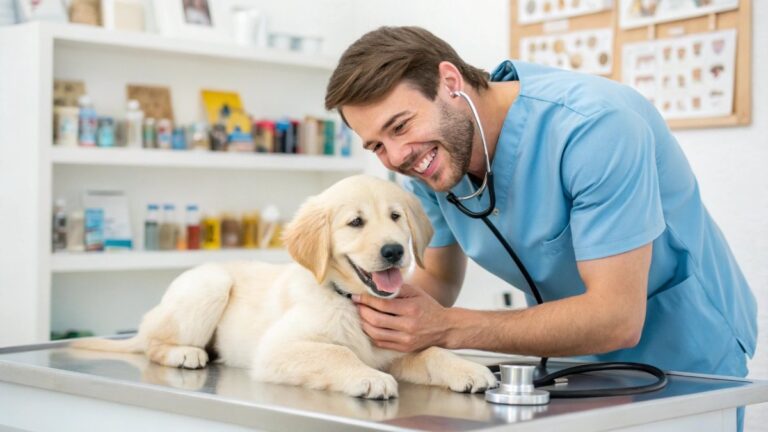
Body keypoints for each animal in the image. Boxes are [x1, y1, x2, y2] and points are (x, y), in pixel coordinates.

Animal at [69, 175, 496, 398]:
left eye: (396, 217)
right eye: (355, 222)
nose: (394, 251)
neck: (350, 301)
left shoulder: (394, 346)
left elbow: (432, 352)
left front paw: (467, 369)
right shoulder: (277, 349)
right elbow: (338, 353)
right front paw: (369, 377)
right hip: (209, 284)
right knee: (154, 343)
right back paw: (184, 353)